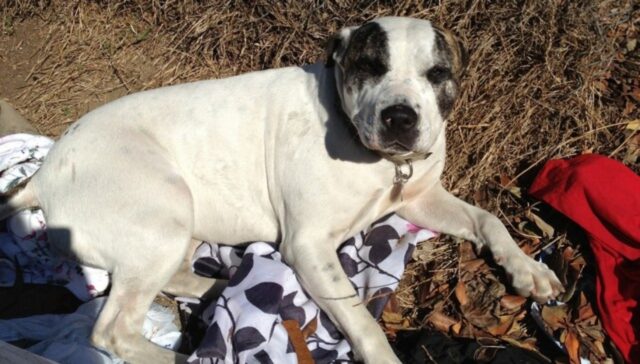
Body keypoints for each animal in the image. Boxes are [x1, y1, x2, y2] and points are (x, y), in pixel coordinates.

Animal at [0, 17, 564, 364]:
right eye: (369, 66)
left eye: (438, 73)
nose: (400, 117)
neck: (380, 163)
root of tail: (44, 173)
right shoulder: (310, 246)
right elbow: (359, 317)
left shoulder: (423, 198)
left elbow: (489, 219)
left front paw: (528, 270)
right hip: (162, 209)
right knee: (112, 330)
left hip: (177, 224)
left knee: (177, 278)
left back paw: (219, 289)